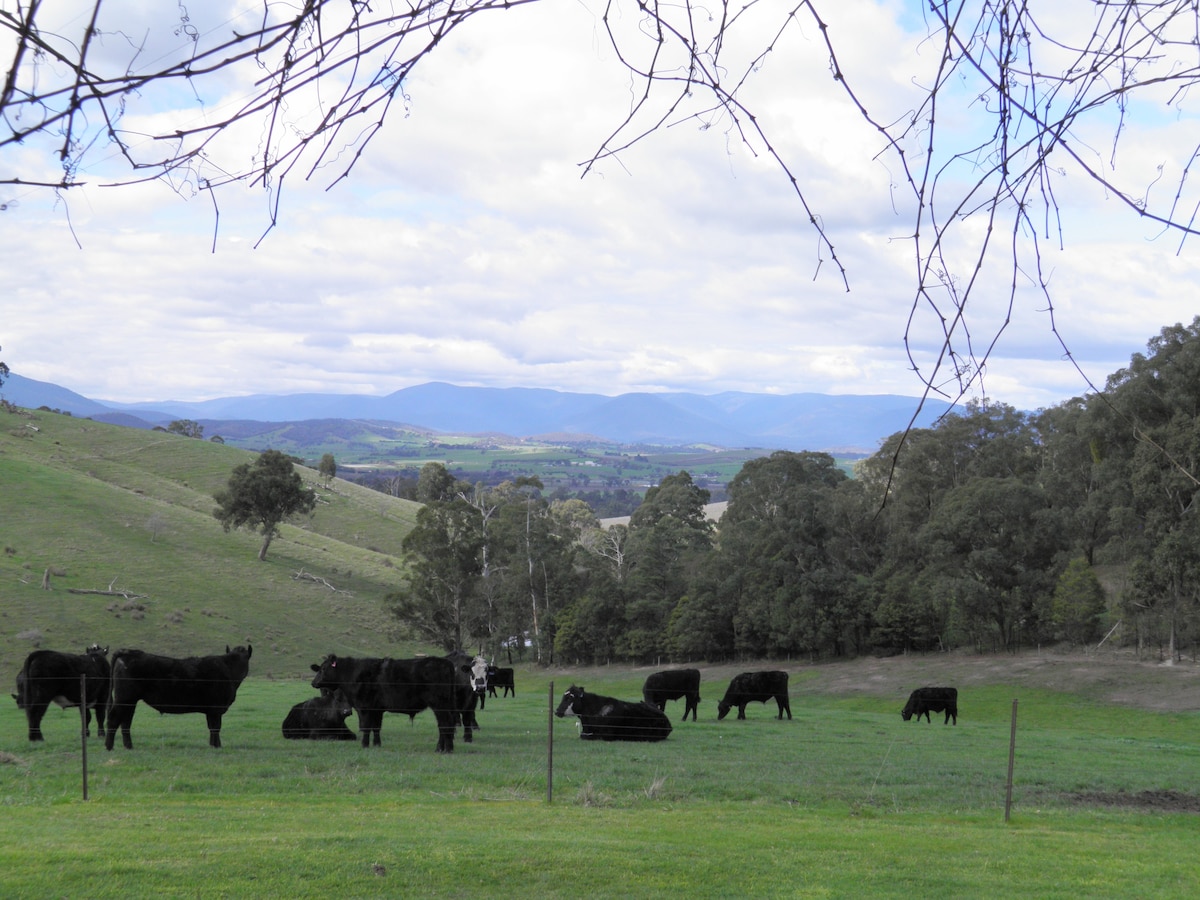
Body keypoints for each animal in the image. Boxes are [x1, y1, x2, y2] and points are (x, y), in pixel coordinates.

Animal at [104, 643, 252, 748]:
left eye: (245, 659)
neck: (228, 669)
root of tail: (129, 652)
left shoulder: (210, 711)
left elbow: (211, 727)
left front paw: (212, 745)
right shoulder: (216, 708)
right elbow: (216, 728)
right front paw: (217, 746)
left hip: (129, 701)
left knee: (125, 722)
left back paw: (128, 746)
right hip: (124, 698)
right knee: (114, 718)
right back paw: (109, 746)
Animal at [307, 657, 460, 753]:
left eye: (323, 669)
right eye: (319, 668)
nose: (313, 682)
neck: (354, 674)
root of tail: (446, 662)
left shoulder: (364, 707)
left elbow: (366, 727)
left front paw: (364, 745)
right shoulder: (377, 709)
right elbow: (376, 727)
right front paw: (377, 744)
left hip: (440, 705)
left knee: (445, 725)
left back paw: (446, 749)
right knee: (444, 726)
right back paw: (442, 748)